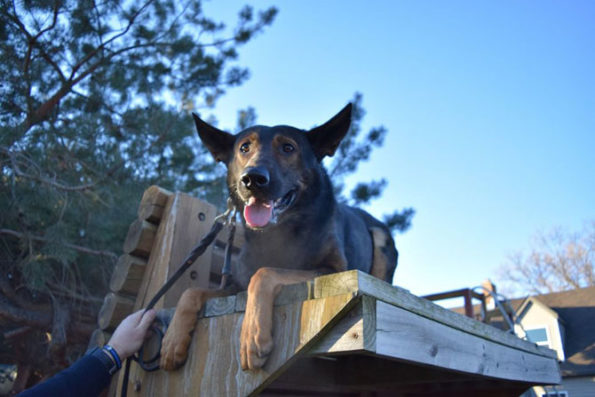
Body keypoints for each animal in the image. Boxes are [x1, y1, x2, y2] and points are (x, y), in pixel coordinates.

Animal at [161, 103, 398, 370]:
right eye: (244, 147)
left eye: (288, 148)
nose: (252, 179)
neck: (277, 232)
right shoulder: (235, 284)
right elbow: (191, 292)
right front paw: (172, 340)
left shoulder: (333, 270)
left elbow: (265, 273)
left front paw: (252, 336)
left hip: (380, 237)